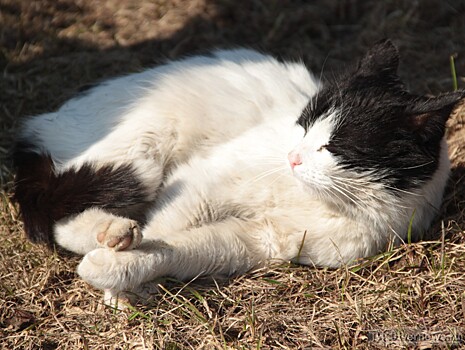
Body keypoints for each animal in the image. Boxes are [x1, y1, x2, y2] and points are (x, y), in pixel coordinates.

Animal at [12, 39, 462, 304]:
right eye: (305, 123)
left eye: (335, 147)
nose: (293, 157)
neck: (314, 199)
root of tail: (41, 122)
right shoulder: (203, 180)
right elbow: (162, 230)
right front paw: (121, 279)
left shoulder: (257, 241)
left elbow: (181, 247)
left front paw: (124, 274)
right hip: (141, 153)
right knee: (59, 216)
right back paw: (114, 233)